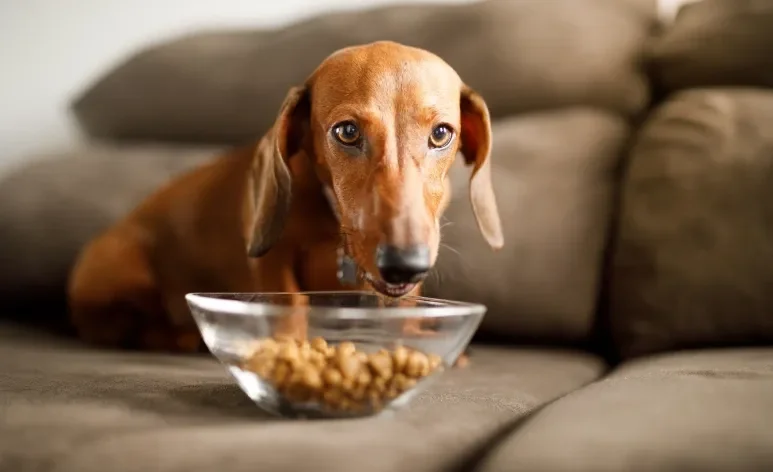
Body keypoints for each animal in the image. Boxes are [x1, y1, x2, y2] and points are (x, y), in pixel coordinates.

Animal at [65, 42, 500, 354]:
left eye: (441, 134)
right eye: (347, 132)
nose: (404, 265)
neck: (332, 223)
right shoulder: (273, 259)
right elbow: (290, 306)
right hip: (122, 265)